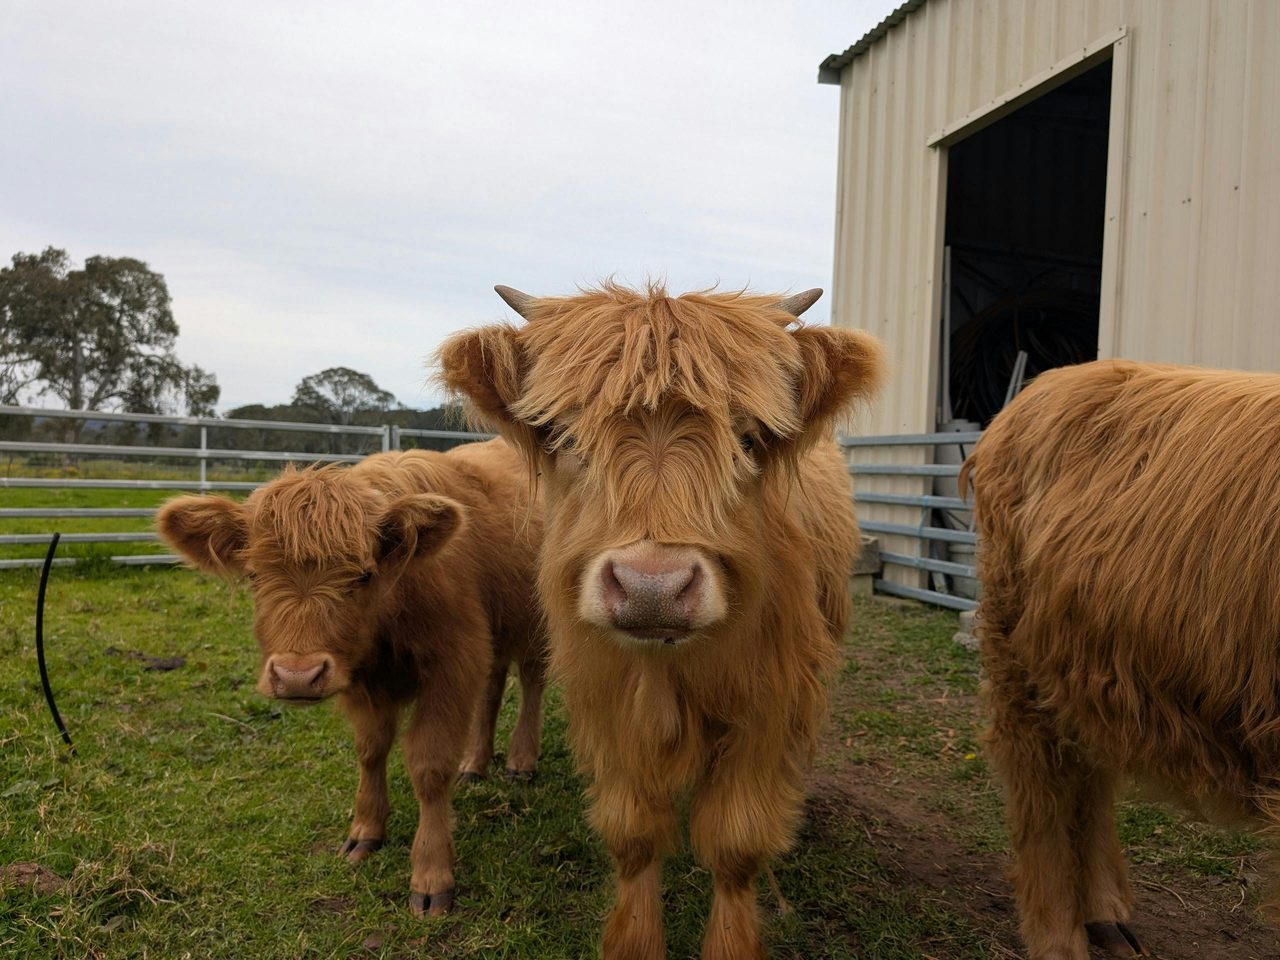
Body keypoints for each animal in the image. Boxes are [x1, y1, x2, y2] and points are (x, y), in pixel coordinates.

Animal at [155, 439, 547, 917]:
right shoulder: (364, 680)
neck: (390, 618)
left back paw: (520, 760)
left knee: (531, 682)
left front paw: (431, 874)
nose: (297, 676)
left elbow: (429, 766)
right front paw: (366, 830)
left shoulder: (454, 662)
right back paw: (475, 763)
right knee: (493, 687)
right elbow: (370, 750)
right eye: (254, 574)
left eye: (364, 574)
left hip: (535, 623)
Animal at [438, 282, 883, 960]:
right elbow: (634, 835)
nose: (653, 589)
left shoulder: (769, 707)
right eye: (567, 438)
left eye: (748, 441)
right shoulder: (607, 701)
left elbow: (735, 843)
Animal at [962, 359, 1280, 960]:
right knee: (1037, 778)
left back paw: (1104, 914)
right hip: (1019, 650)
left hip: (1089, 663)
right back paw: (1057, 935)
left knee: (1087, 770)